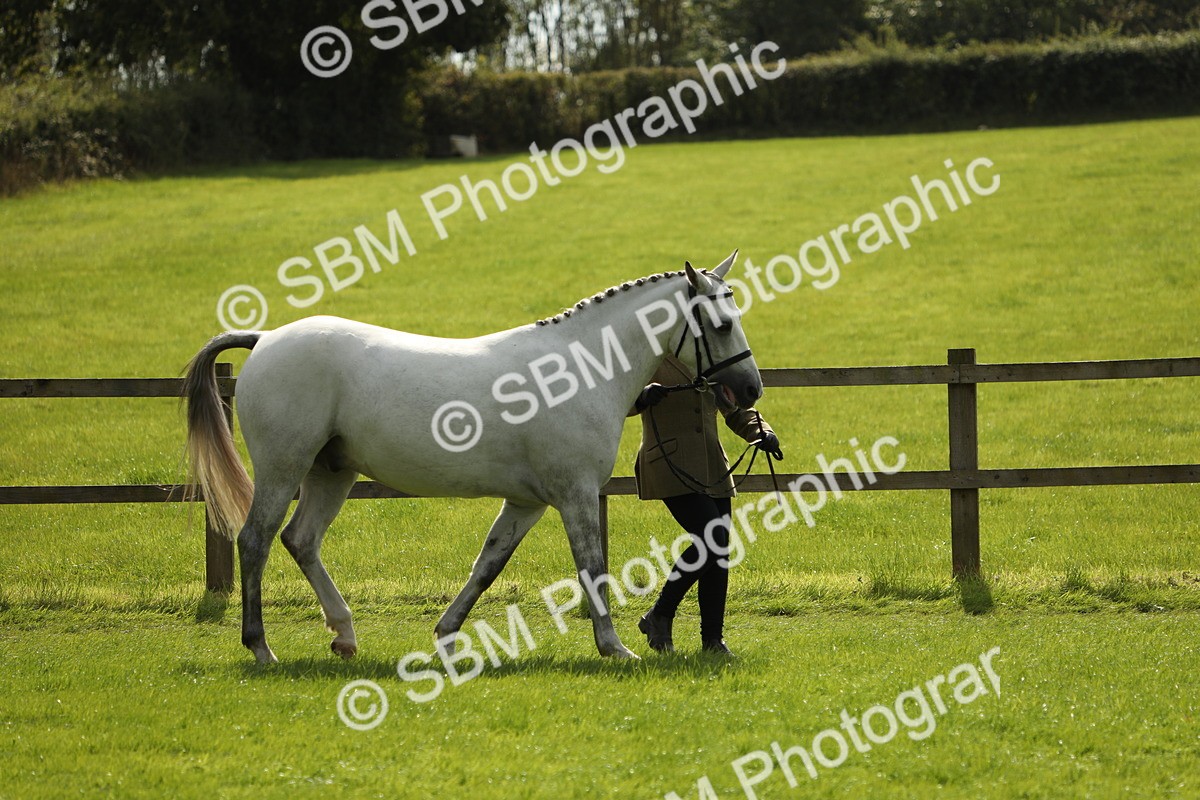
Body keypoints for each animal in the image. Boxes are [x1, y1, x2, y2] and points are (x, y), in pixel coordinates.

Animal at [183, 252, 763, 664]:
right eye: (720, 323)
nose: (750, 389)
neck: (576, 371)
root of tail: (266, 340)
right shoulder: (575, 495)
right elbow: (591, 568)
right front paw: (614, 647)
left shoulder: (527, 503)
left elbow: (488, 564)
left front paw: (446, 635)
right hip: (284, 469)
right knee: (255, 540)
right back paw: (261, 647)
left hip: (332, 473)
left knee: (300, 541)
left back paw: (344, 636)